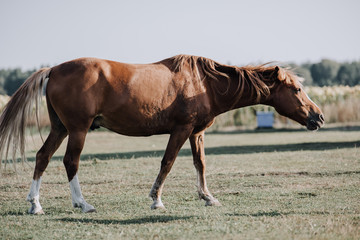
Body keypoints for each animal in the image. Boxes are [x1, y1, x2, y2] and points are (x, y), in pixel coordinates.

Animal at [0, 54, 324, 214]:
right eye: (297, 89)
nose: (318, 116)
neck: (205, 83)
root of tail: (53, 69)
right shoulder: (181, 130)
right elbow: (167, 163)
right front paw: (156, 199)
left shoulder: (196, 133)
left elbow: (200, 164)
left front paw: (207, 197)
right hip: (77, 130)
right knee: (70, 162)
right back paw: (82, 204)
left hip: (60, 129)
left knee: (42, 157)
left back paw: (35, 204)